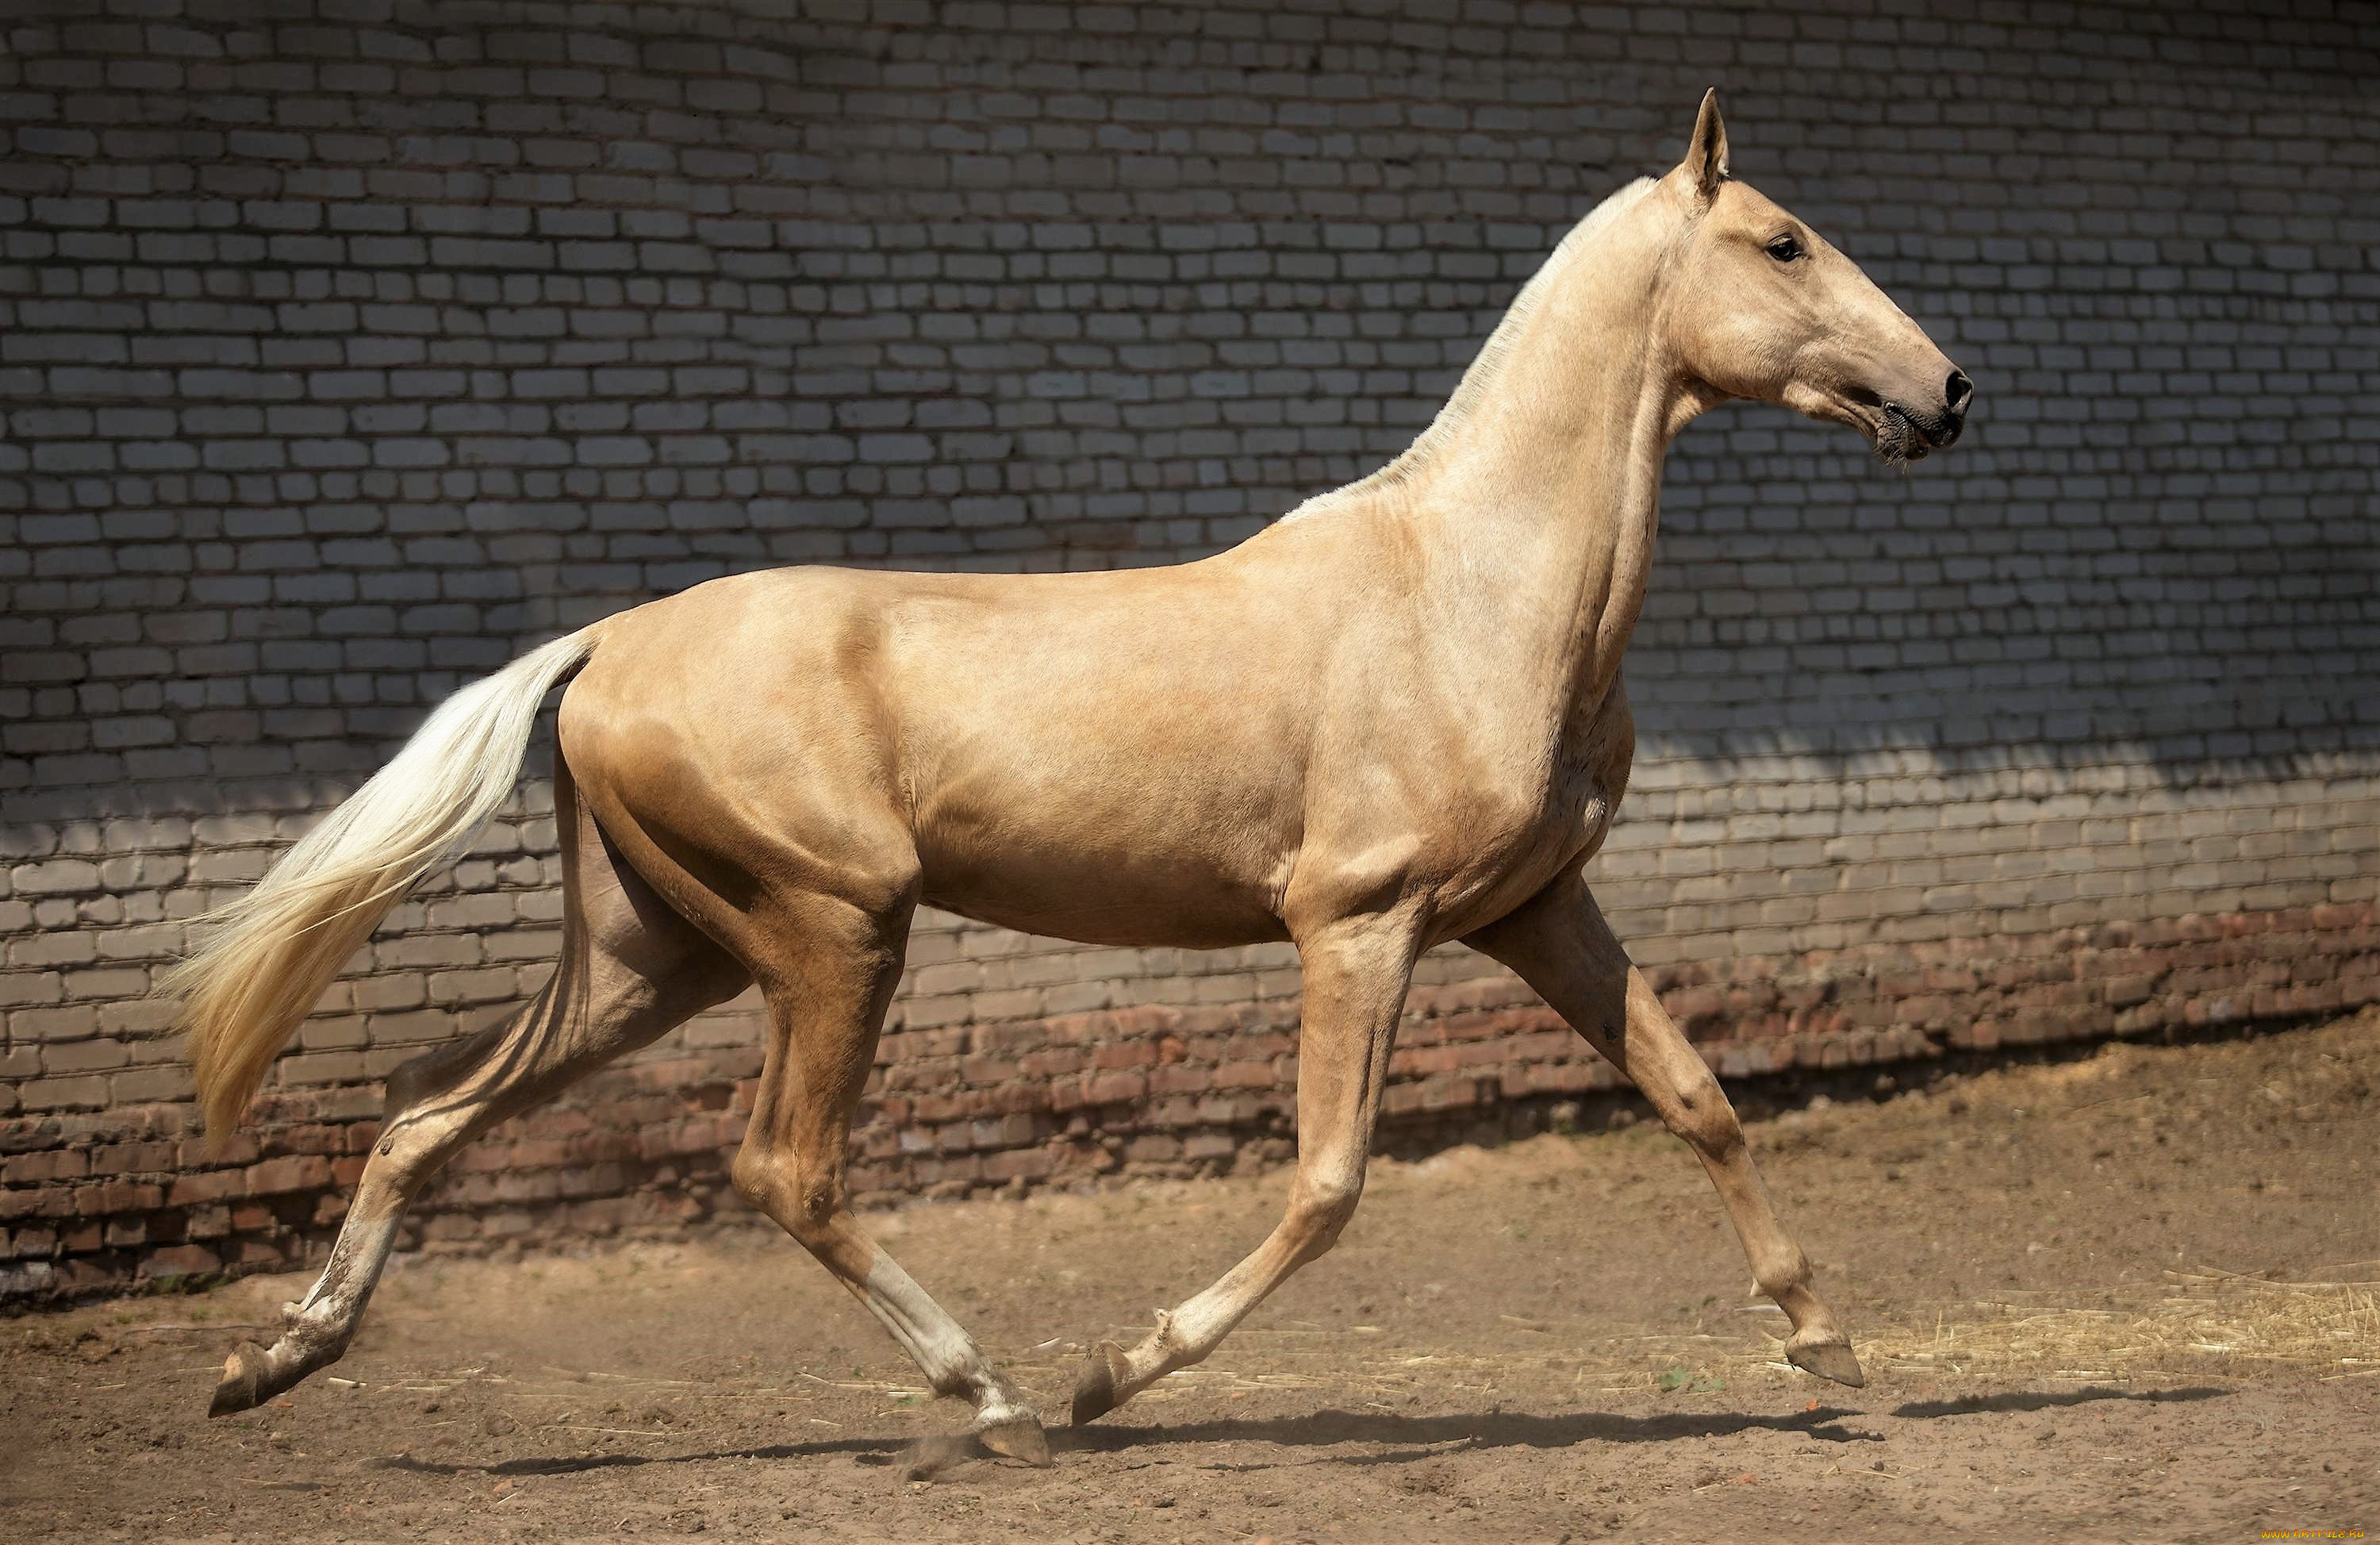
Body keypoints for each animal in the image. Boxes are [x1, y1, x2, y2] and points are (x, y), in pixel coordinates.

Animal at [167, 90, 1971, 1466]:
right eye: (1784, 241)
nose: (1944, 390)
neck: (1463, 593)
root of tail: (607, 640)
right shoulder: (1358, 924)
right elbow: (1329, 1182)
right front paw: (1122, 1368)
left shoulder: (1537, 910)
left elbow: (1697, 1095)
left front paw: (1826, 1343)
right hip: (833, 929)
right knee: (783, 1167)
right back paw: (1002, 1400)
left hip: (654, 955)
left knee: (429, 1108)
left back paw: (271, 1362)